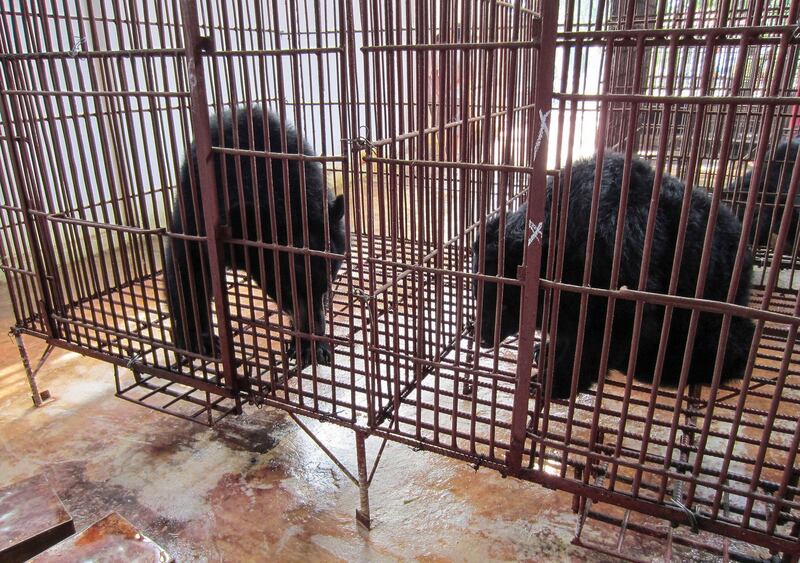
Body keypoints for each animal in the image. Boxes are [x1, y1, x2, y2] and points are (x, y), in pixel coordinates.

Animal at [164, 106, 346, 368]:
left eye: (327, 285)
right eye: (285, 288)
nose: (315, 330)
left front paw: (311, 348)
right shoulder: (198, 202)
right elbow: (189, 261)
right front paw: (201, 341)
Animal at [476, 154, 756, 398]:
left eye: (506, 303)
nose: (481, 336)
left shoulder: (616, 262)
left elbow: (606, 332)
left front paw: (551, 383)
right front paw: (544, 351)